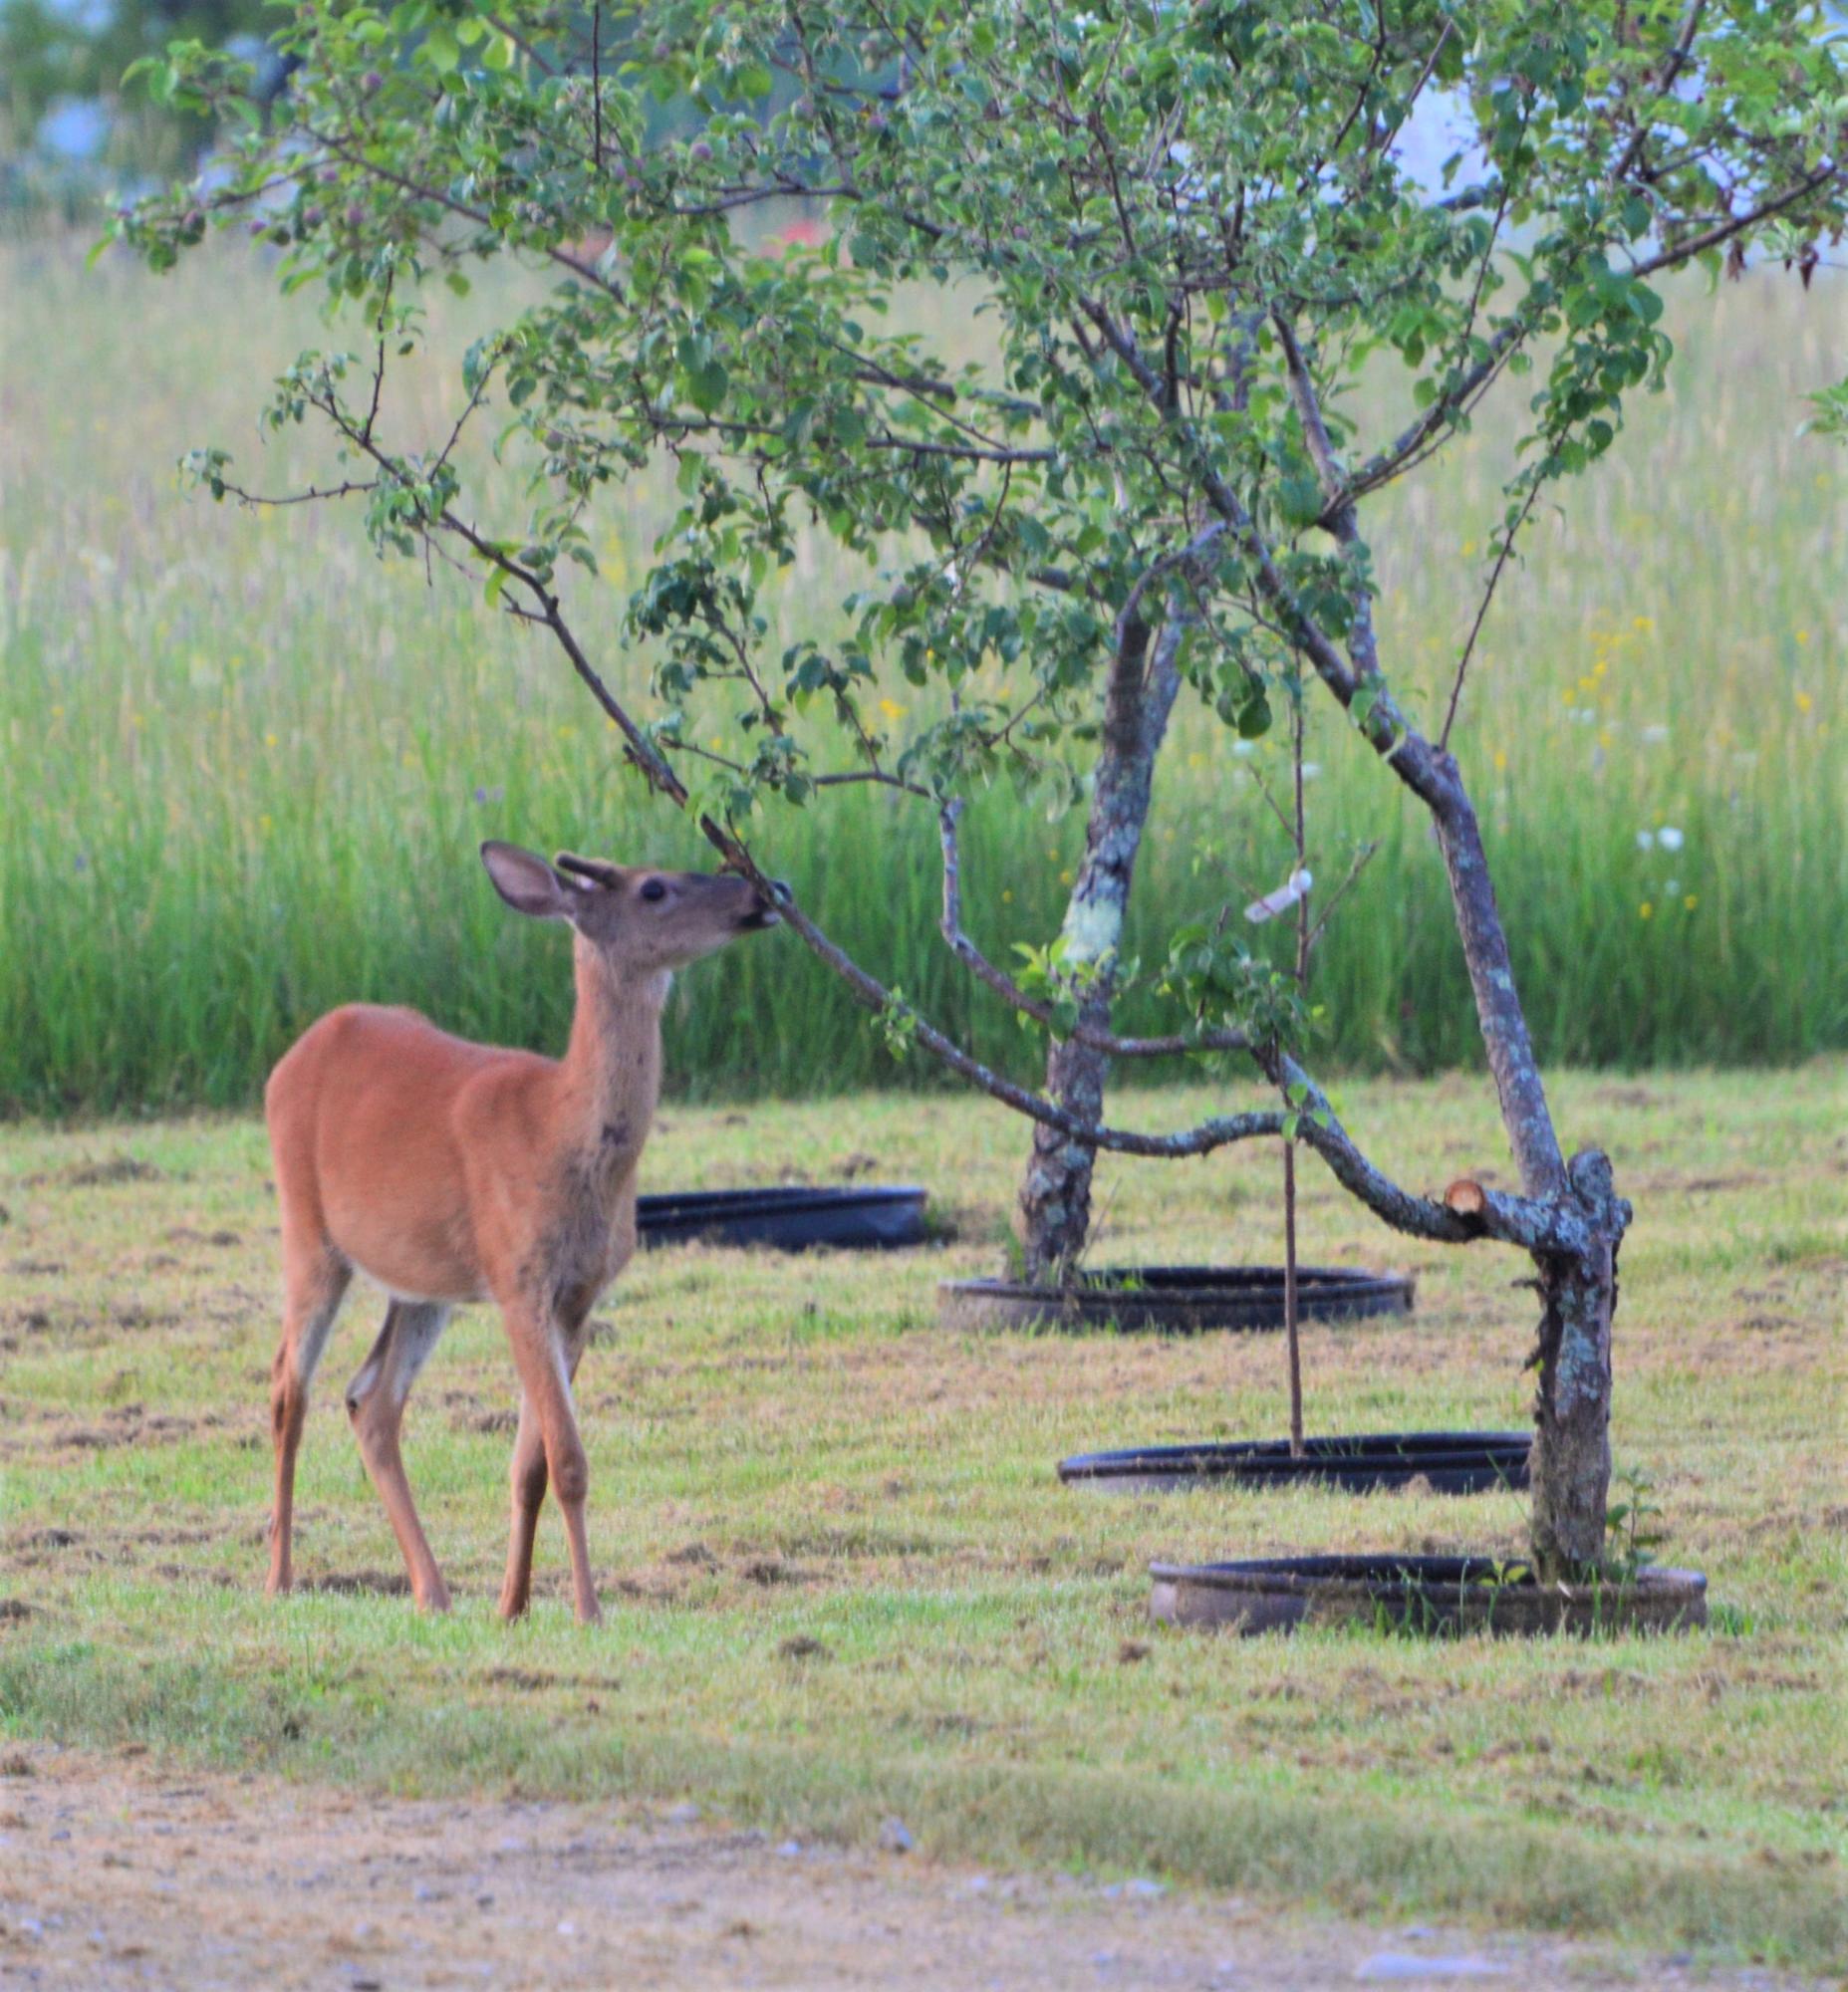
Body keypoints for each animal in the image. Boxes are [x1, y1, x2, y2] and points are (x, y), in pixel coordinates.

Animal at [262, 841, 780, 1625]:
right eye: (654, 888)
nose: (767, 891)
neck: (560, 1133)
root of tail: (294, 1055)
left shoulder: (579, 1296)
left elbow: (531, 1463)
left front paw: (513, 1605)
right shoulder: (517, 1278)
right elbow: (568, 1460)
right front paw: (588, 1610)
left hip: (422, 1284)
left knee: (370, 1401)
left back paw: (434, 1592)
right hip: (308, 1228)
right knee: (289, 1390)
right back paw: (280, 1579)